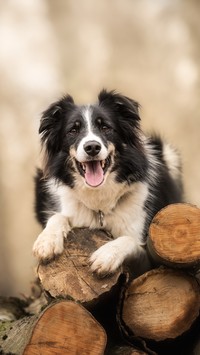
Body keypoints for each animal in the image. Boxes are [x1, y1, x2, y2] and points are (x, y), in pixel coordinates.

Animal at [33, 90, 183, 276]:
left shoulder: (150, 259)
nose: (92, 147)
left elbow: (129, 239)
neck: (100, 204)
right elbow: (57, 216)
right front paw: (46, 241)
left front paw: (106, 256)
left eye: (105, 127)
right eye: (73, 130)